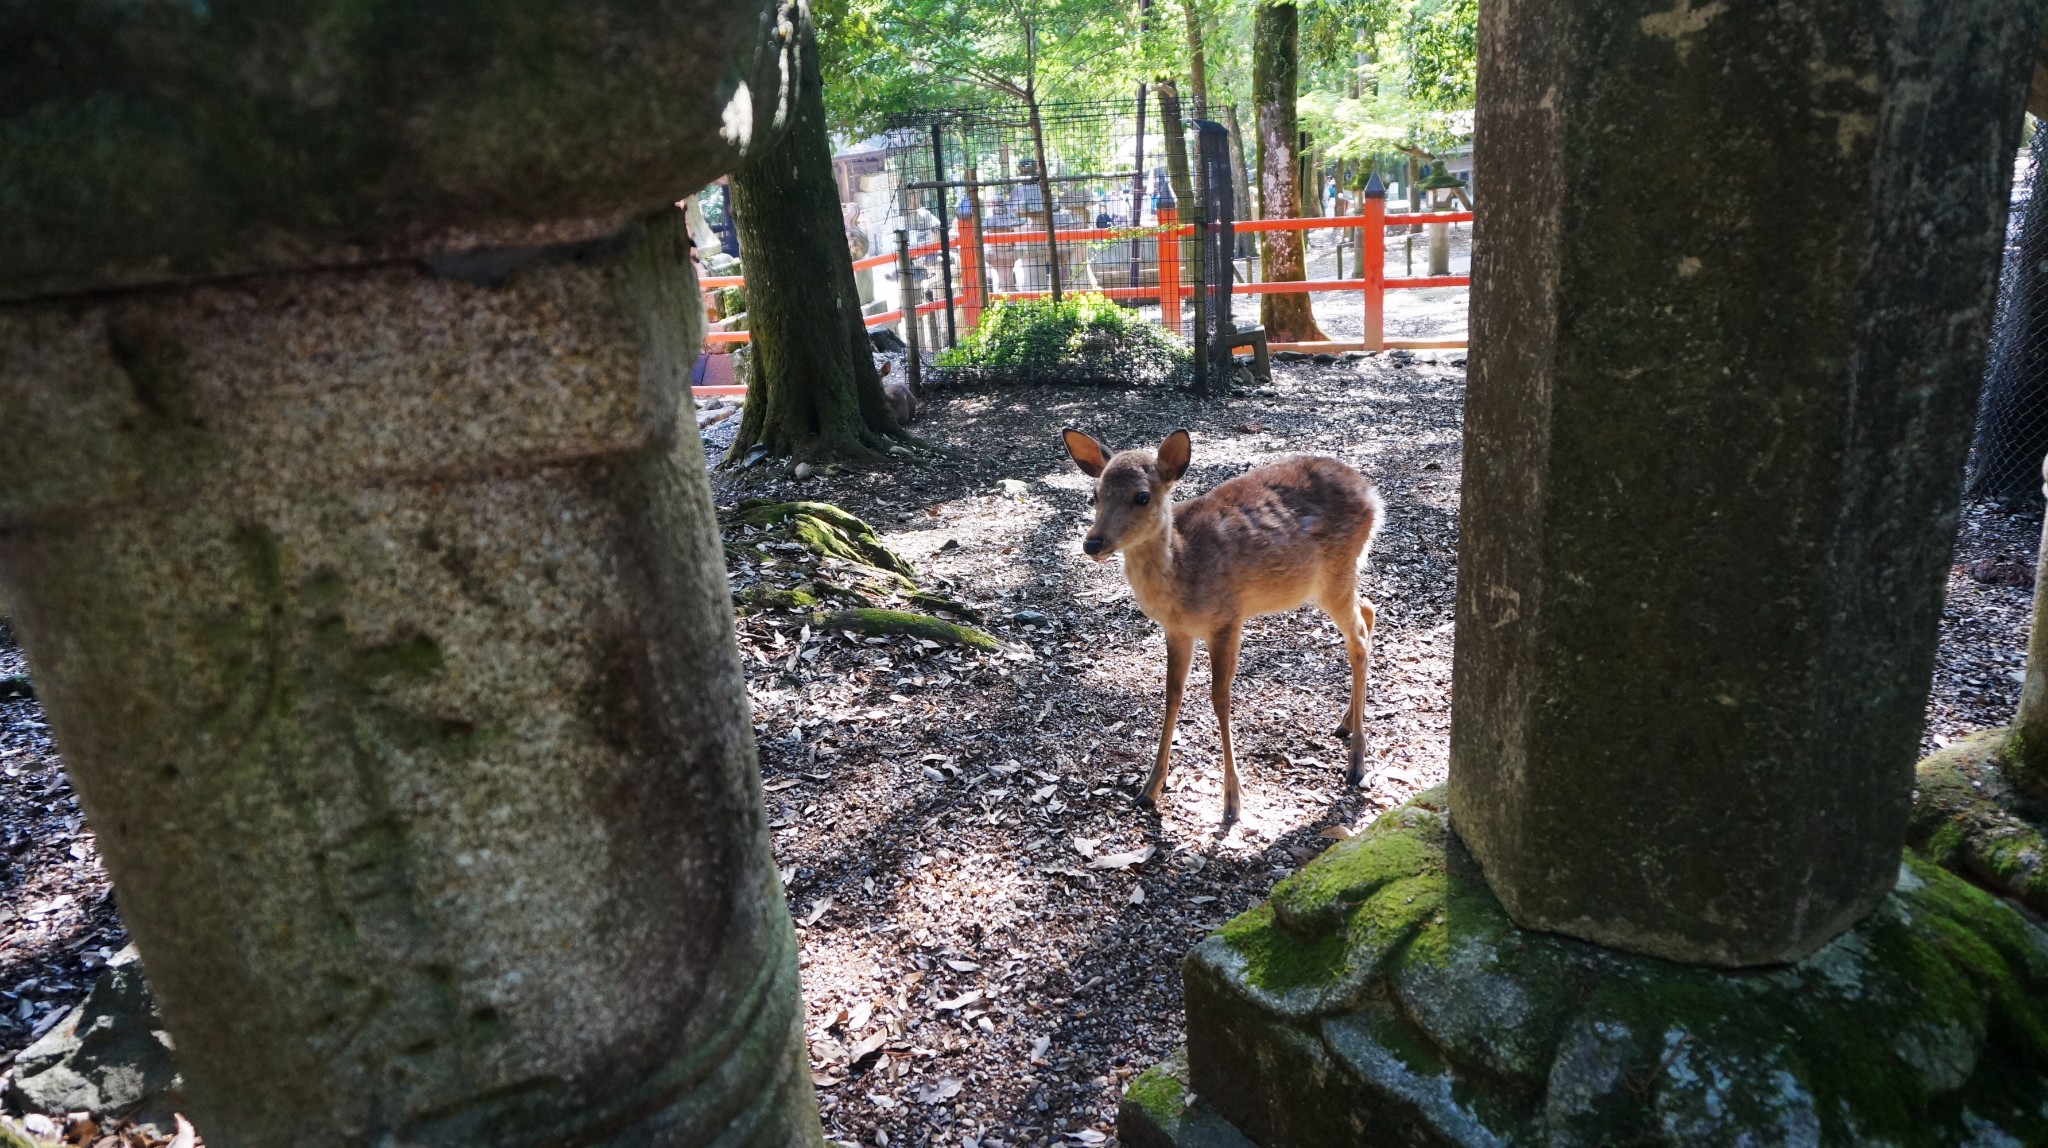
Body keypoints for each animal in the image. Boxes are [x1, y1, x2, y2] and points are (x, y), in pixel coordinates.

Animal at [1064, 425, 1384, 818]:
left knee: (1358, 635)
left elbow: (1220, 698)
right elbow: (1172, 694)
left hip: (1336, 571)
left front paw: (1232, 801)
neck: (1183, 566)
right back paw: (1345, 724)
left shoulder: (1227, 618)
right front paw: (1149, 789)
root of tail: (1373, 496)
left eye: (1141, 497)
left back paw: (1356, 764)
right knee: (1368, 610)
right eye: (1093, 495)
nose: (1093, 543)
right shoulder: (1177, 630)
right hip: (1335, 579)